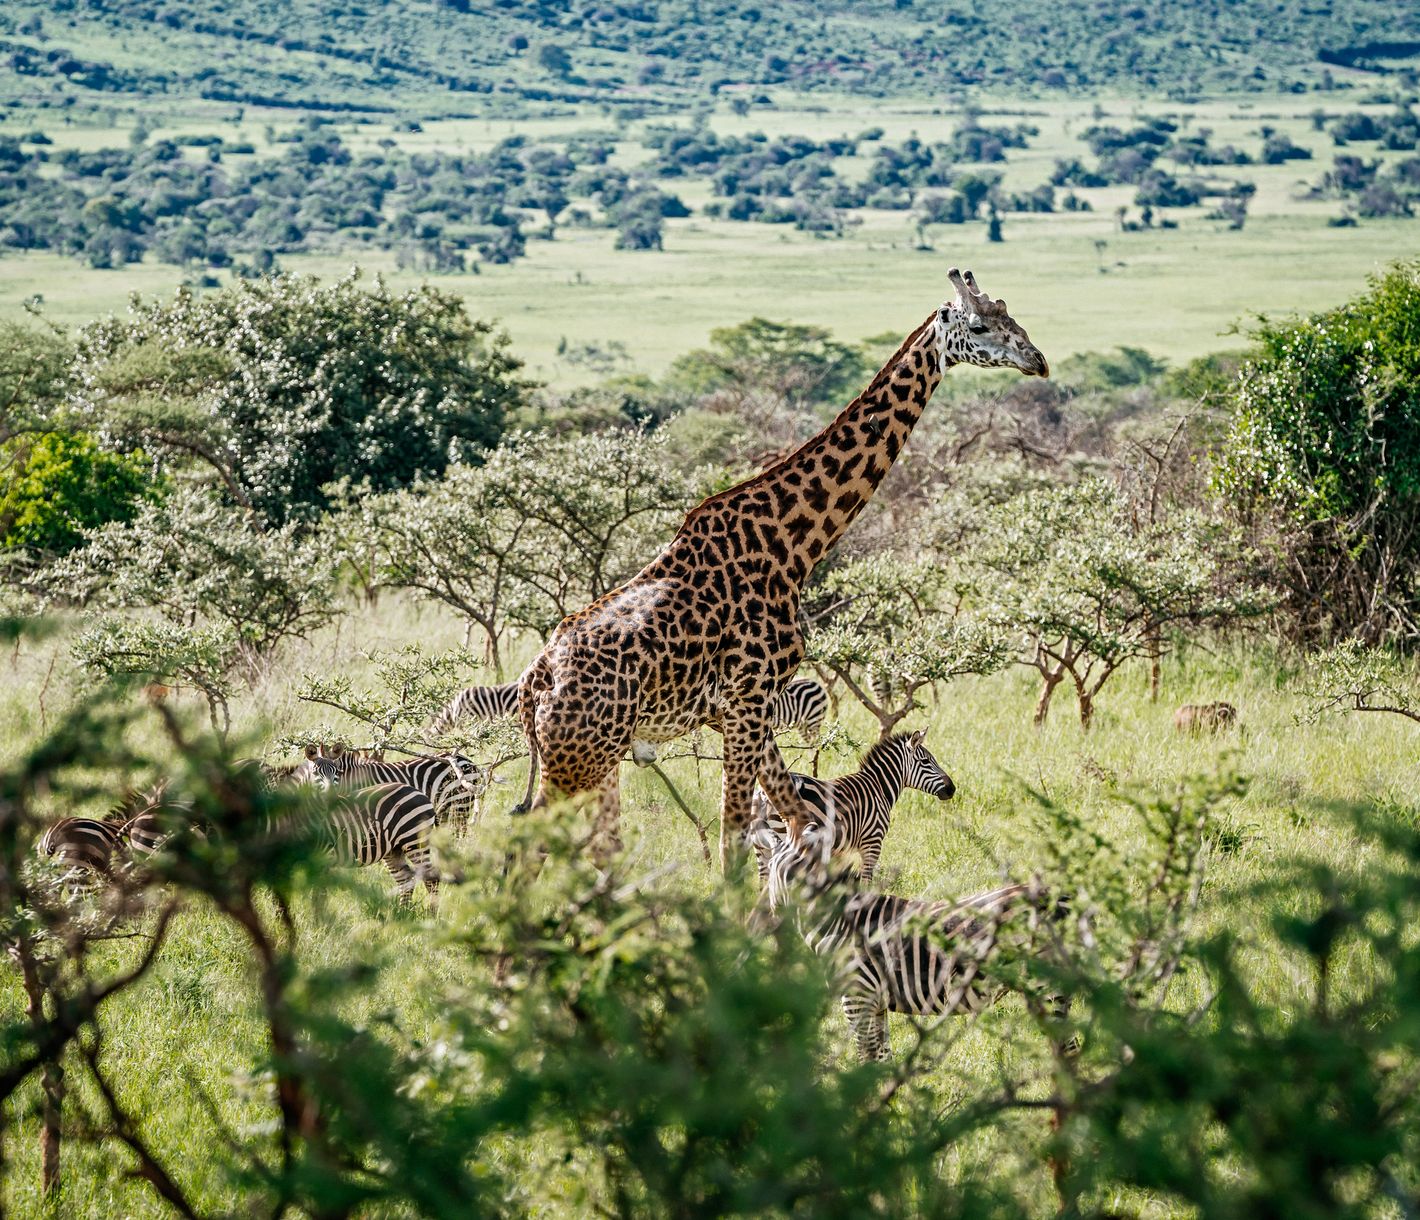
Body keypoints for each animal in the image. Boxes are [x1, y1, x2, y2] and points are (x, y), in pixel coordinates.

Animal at [315, 744, 487, 836]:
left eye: (335, 773)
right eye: (316, 773)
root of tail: (469, 761)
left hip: (459, 803)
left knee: (459, 832)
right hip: (446, 807)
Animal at [518, 268, 1048, 869]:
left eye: (1013, 318)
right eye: (979, 326)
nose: (1037, 360)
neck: (791, 547)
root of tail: (533, 684)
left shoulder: (750, 710)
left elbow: (797, 819)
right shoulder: (745, 702)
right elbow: (734, 835)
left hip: (597, 757)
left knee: (592, 844)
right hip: (578, 757)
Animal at [747, 730, 954, 885]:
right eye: (926, 762)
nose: (952, 788)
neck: (878, 787)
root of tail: (763, 795)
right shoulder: (872, 842)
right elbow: (866, 881)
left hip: (760, 846)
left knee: (764, 880)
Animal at [761, 823, 1070, 1062]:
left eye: (770, 872)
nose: (773, 919)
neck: (838, 922)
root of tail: (1056, 896)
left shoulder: (856, 997)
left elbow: (865, 1057)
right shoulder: (876, 1004)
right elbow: (881, 1058)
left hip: (1047, 984)